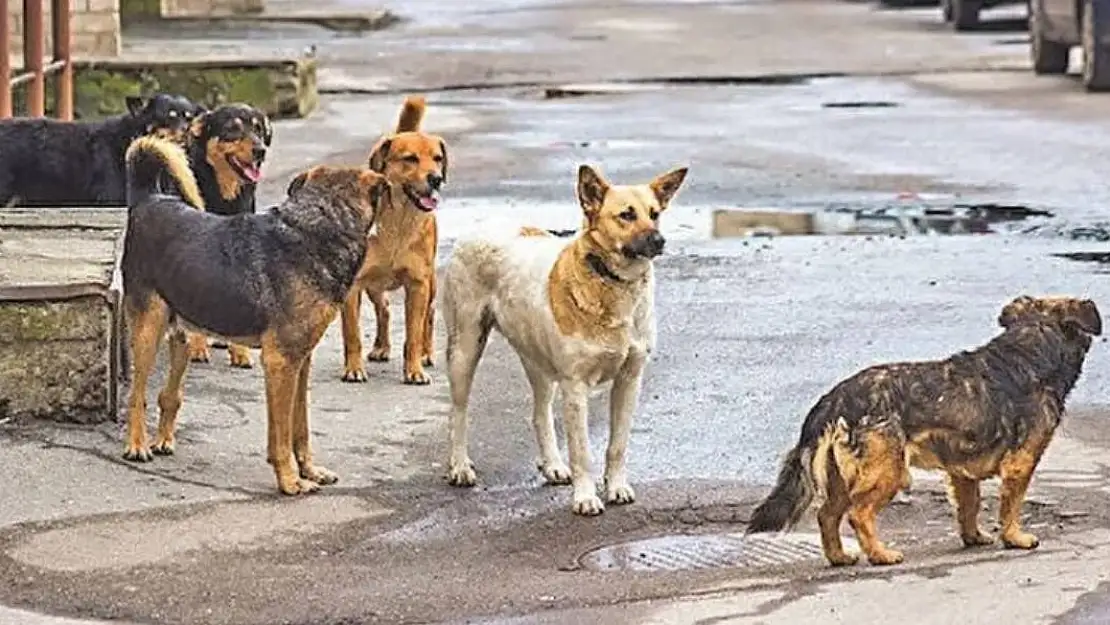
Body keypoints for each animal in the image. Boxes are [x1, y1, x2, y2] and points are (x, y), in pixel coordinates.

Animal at [177, 101, 275, 366]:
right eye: (232, 129)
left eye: (259, 129)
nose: (260, 151)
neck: (223, 195)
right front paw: (197, 347)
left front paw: (239, 352)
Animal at [337, 94, 446, 384]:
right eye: (410, 158)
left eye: (438, 158)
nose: (436, 179)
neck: (398, 221)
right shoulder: (353, 286)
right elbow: (352, 333)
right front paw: (354, 368)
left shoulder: (418, 284)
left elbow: (413, 334)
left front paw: (414, 369)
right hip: (374, 285)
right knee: (383, 308)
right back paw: (381, 347)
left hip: (430, 283)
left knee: (429, 315)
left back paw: (426, 353)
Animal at [439, 164, 683, 515]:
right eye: (626, 215)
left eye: (655, 214)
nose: (659, 240)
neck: (612, 283)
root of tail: (482, 225)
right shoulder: (576, 386)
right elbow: (582, 452)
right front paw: (585, 497)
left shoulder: (629, 380)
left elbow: (617, 445)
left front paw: (616, 487)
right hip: (465, 349)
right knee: (458, 411)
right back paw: (459, 466)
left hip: (538, 360)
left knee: (540, 413)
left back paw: (552, 465)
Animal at [745, 297, 1101, 568]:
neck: (1030, 348)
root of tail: (835, 399)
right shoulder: (1021, 464)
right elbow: (1011, 506)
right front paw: (1015, 538)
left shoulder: (961, 471)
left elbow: (969, 507)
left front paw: (973, 537)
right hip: (887, 472)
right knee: (858, 515)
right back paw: (881, 555)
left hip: (843, 478)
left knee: (826, 515)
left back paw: (839, 557)